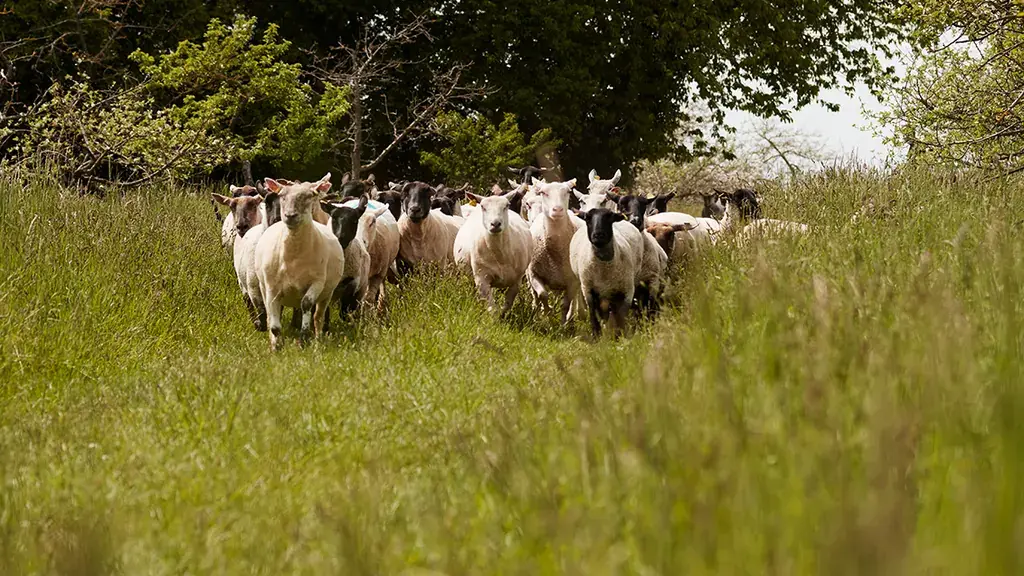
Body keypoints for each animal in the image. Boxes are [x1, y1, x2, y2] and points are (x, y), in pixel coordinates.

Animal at [254, 175, 344, 351]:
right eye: (282, 196)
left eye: (310, 196)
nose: (290, 215)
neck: (293, 257)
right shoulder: (271, 288)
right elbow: (274, 325)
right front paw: (276, 347)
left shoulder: (317, 282)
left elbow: (307, 304)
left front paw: (303, 339)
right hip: (263, 286)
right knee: (269, 316)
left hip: (327, 293)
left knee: (318, 317)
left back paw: (318, 340)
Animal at [526, 178, 585, 323]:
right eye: (543, 192)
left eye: (568, 192)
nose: (557, 209)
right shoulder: (534, 274)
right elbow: (543, 295)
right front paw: (547, 316)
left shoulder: (572, 280)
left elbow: (566, 304)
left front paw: (562, 323)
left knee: (577, 297)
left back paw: (576, 315)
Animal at [569, 208, 645, 339]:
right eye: (587, 218)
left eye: (610, 217)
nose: (598, 235)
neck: (604, 269)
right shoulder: (588, 290)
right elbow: (593, 315)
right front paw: (597, 336)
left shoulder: (627, 291)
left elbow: (621, 316)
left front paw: (620, 336)